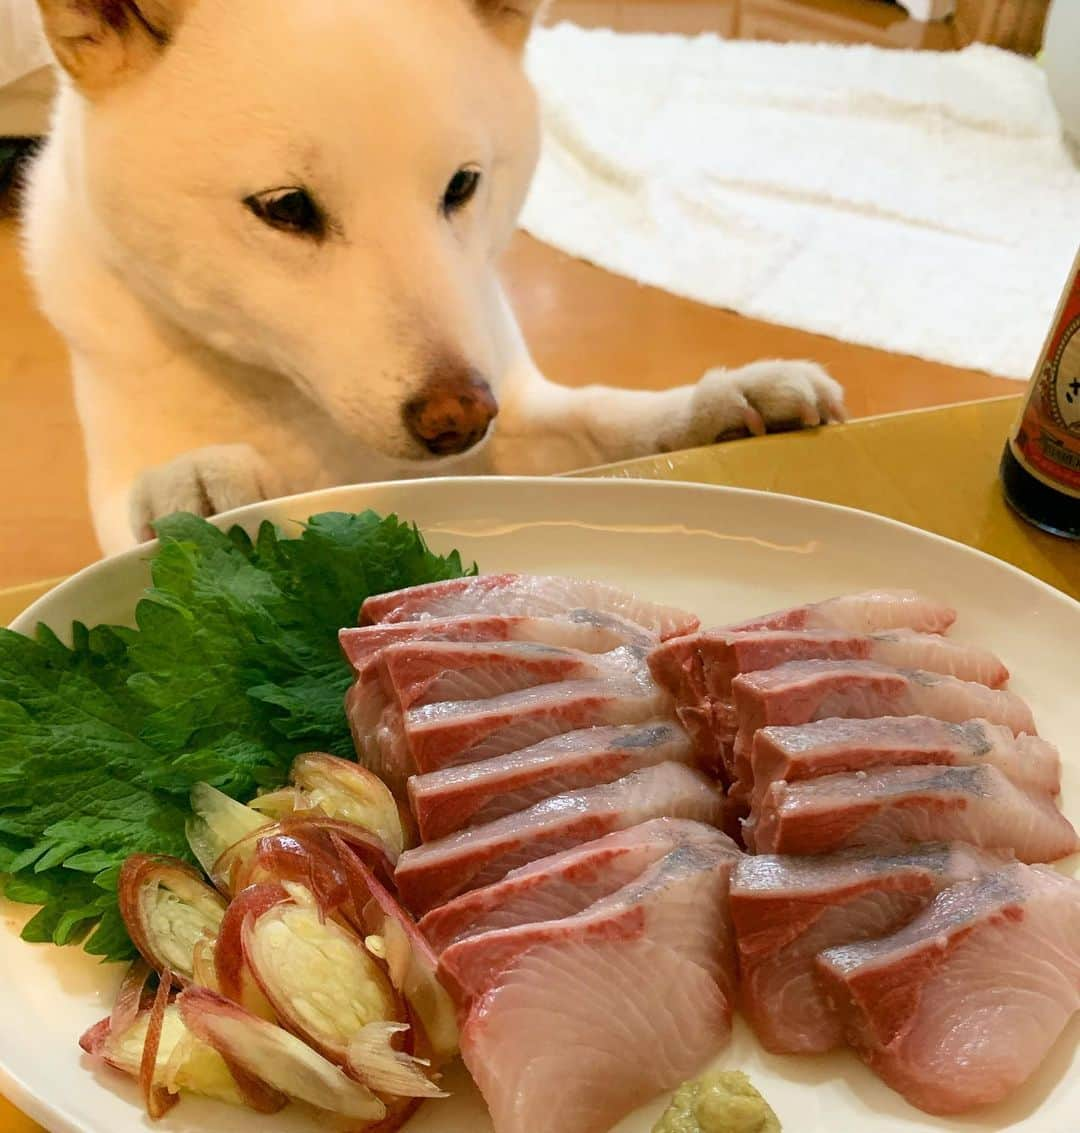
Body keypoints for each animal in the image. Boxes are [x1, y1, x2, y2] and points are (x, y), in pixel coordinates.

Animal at [18, 0, 843, 552]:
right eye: (285, 207)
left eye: (462, 185)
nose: (460, 419)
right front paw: (187, 485)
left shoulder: (515, 421)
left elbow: (605, 418)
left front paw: (722, 400)